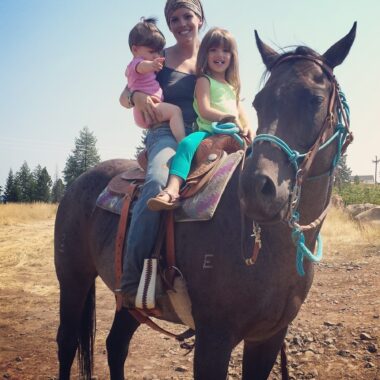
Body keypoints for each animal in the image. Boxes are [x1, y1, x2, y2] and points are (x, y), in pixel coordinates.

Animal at [54, 22, 356, 378]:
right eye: (260, 102)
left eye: (315, 98)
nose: (256, 188)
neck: (269, 246)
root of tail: (78, 183)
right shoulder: (214, 338)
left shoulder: (268, 338)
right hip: (72, 280)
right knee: (67, 343)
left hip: (129, 304)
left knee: (116, 345)